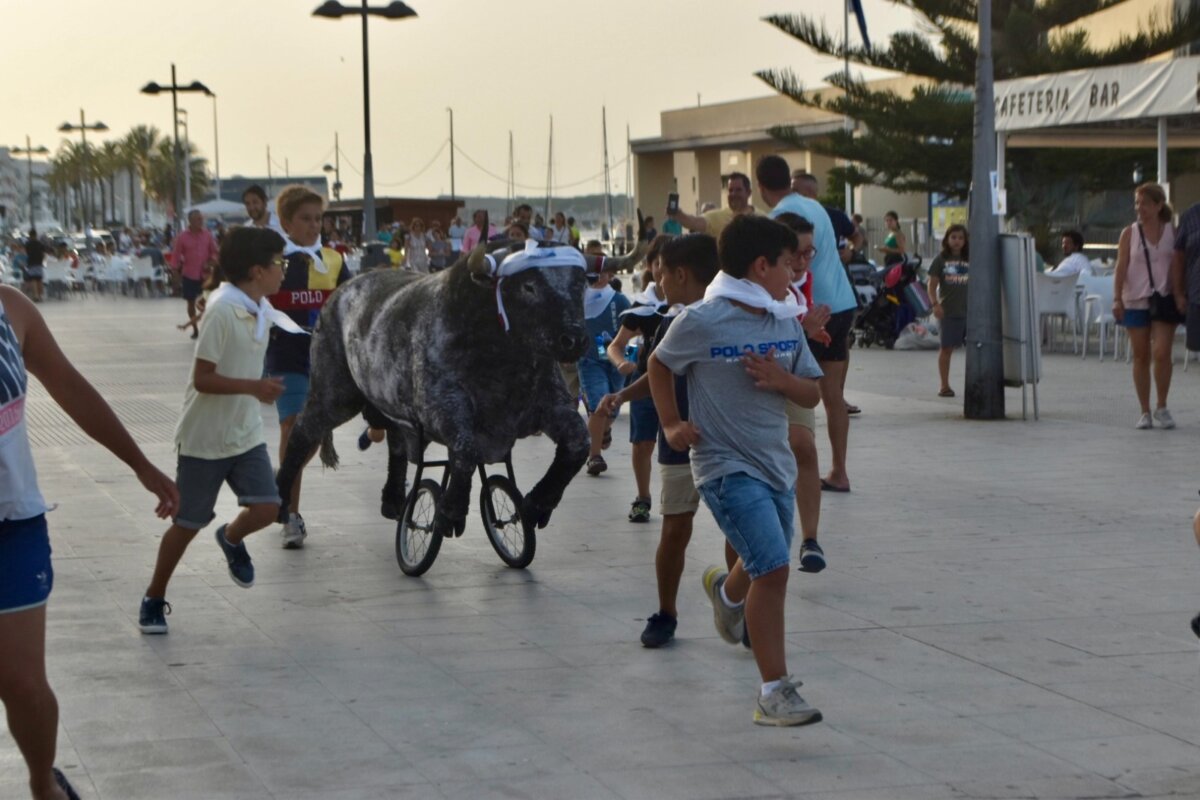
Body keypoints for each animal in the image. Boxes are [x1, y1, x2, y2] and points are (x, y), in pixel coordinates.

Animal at [274, 233, 646, 539]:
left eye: (580, 283)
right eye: (528, 286)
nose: (574, 339)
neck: (503, 358)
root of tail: (341, 293)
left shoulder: (549, 404)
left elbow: (578, 443)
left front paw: (537, 504)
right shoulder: (442, 405)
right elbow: (465, 452)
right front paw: (450, 512)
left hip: (388, 402)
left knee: (395, 439)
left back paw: (393, 499)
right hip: (334, 393)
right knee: (302, 432)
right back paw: (281, 501)